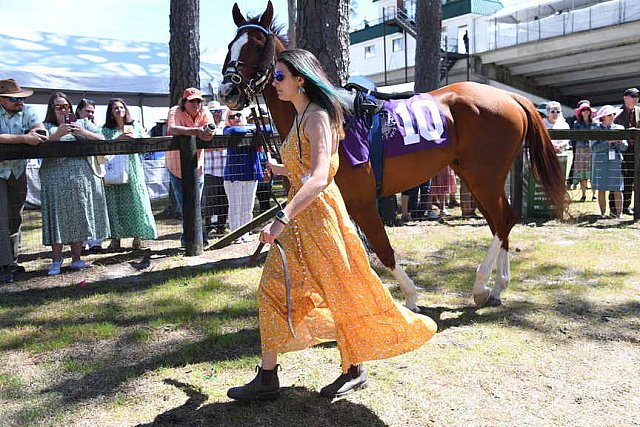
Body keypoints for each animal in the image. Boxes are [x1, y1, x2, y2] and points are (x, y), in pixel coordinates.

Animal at [218, 0, 568, 308]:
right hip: (474, 177)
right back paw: (496, 287)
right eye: (231, 45)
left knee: (504, 219)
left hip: (484, 176)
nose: (227, 91)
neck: (327, 110)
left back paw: (483, 285)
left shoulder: (360, 200)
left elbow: (382, 249)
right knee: (500, 222)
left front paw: (410, 297)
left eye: (257, 45)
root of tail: (510, 97)